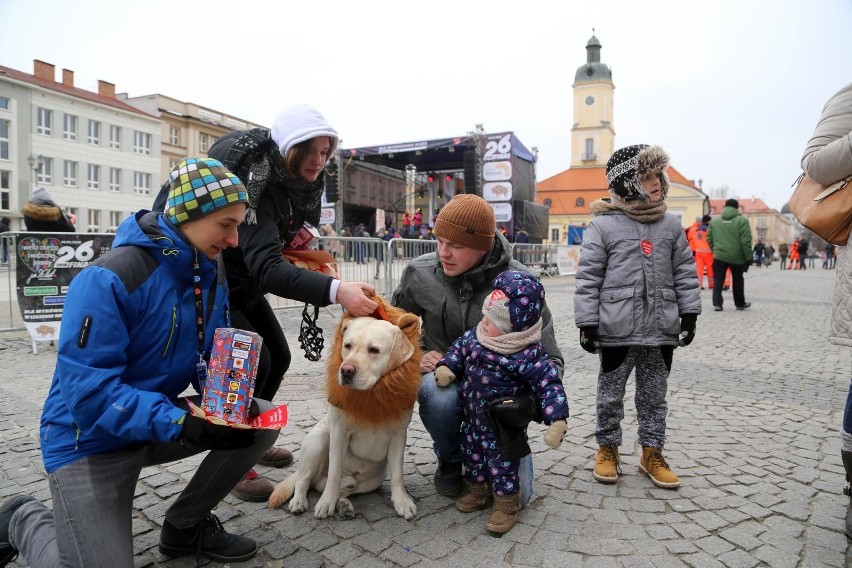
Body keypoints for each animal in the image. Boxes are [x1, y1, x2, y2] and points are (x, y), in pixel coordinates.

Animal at [268, 302, 422, 520]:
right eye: (347, 345)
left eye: (374, 350)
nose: (346, 370)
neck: (370, 395)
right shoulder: (340, 433)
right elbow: (334, 472)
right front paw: (326, 503)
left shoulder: (399, 435)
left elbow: (398, 475)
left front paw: (402, 501)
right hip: (319, 439)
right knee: (304, 479)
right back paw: (299, 501)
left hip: (370, 481)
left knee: (335, 486)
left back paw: (345, 505)